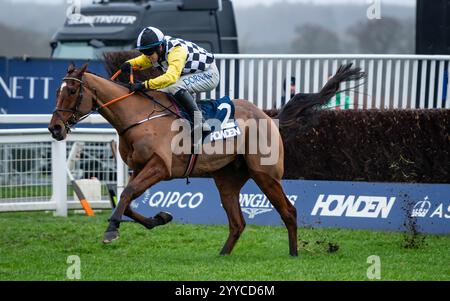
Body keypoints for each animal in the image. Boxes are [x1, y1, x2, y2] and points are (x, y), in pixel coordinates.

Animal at [48, 61, 366, 255]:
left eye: (73, 90)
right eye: (58, 91)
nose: (55, 128)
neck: (139, 117)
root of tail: (269, 117)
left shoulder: (160, 168)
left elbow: (126, 195)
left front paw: (111, 231)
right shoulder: (140, 168)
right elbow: (127, 202)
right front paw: (159, 218)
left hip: (265, 174)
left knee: (289, 211)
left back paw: (294, 253)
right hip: (227, 180)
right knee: (238, 222)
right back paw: (222, 255)